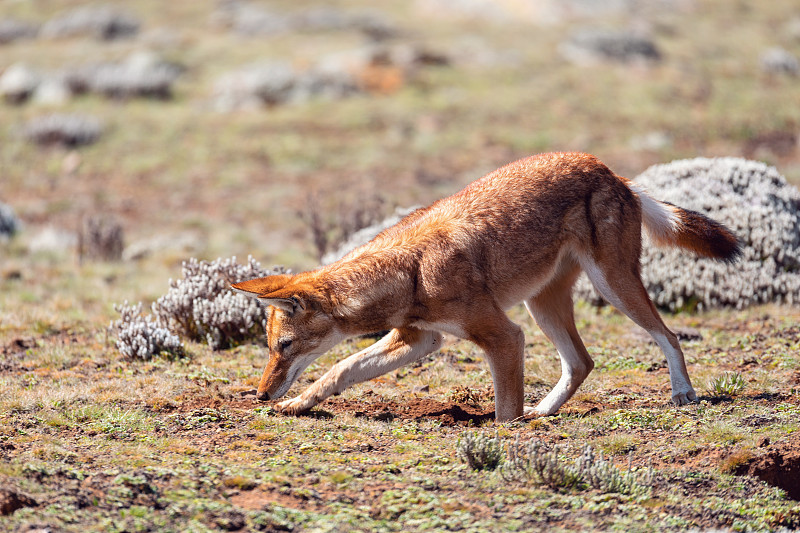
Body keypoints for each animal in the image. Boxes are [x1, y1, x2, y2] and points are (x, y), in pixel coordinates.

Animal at [230, 152, 736, 422]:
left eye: (284, 347)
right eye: (271, 347)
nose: (260, 395)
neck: (410, 269)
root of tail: (611, 170)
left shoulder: (504, 336)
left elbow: (504, 409)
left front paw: (506, 432)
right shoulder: (420, 339)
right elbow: (340, 370)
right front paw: (298, 404)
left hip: (611, 288)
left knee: (668, 336)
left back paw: (683, 394)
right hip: (543, 305)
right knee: (582, 362)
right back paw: (543, 413)